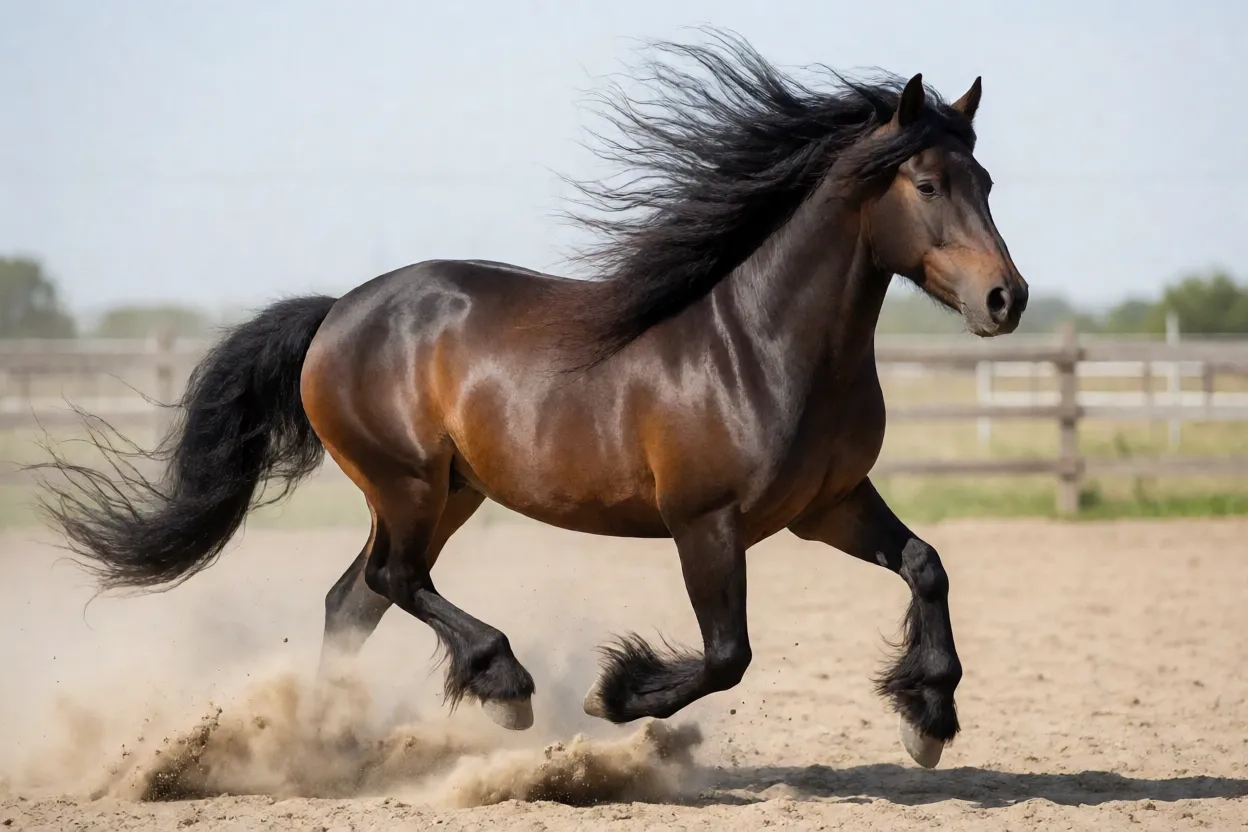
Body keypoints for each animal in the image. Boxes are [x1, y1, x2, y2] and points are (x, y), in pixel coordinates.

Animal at [34, 32, 1027, 770]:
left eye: (986, 183)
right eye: (927, 184)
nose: (1004, 300)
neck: (761, 347)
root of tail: (337, 313)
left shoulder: (827, 506)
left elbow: (927, 565)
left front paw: (928, 719)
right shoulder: (706, 522)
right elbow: (727, 654)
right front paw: (615, 693)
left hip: (448, 492)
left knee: (353, 598)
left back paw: (326, 745)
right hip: (407, 482)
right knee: (393, 582)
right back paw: (503, 686)